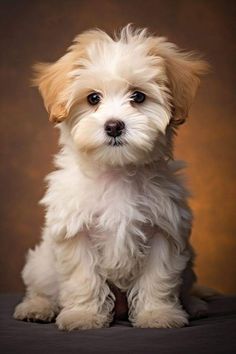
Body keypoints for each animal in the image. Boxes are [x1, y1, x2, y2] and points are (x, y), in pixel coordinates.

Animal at [13, 24, 208, 330]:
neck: (117, 170)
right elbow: (82, 278)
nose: (114, 125)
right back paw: (36, 307)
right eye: (93, 98)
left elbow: (158, 277)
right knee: (43, 287)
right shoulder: (75, 231)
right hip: (42, 264)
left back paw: (195, 305)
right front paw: (83, 315)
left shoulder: (164, 230)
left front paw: (157, 314)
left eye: (138, 97)